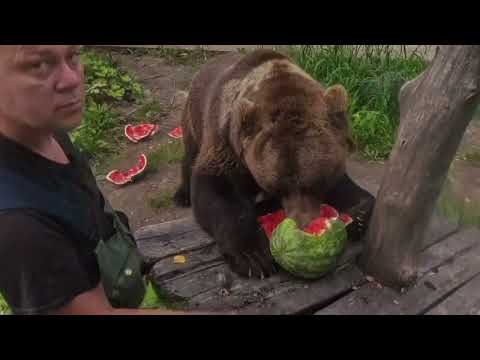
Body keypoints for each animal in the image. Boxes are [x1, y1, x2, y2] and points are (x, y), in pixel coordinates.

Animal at [173, 48, 376, 278]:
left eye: (317, 183)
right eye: (278, 187)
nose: (303, 225)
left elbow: (344, 185)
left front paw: (359, 216)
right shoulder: (226, 139)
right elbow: (216, 188)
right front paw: (253, 256)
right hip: (194, 114)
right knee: (190, 155)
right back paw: (182, 194)